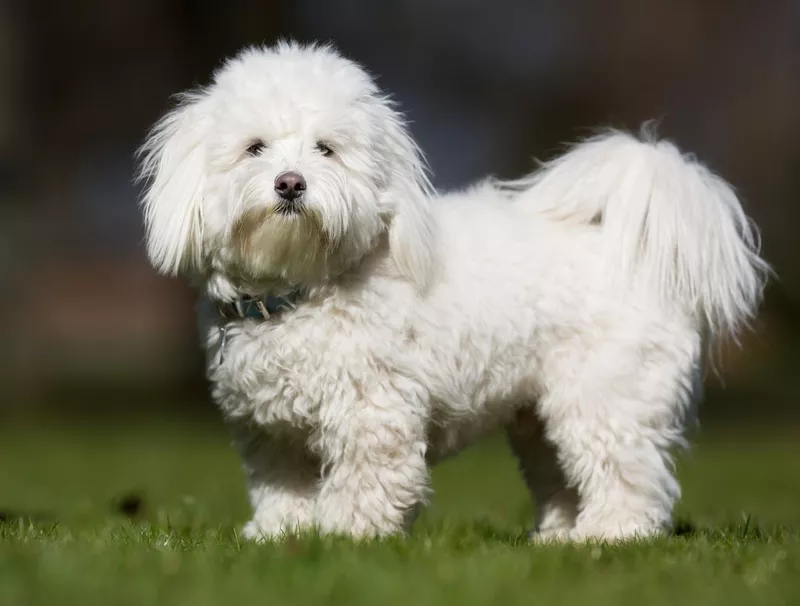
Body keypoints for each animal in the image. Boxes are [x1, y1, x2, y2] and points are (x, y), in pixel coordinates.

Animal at [138, 44, 768, 548]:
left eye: (326, 149)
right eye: (255, 148)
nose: (290, 183)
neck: (301, 291)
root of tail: (637, 253)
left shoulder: (373, 414)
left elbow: (368, 481)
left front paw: (344, 537)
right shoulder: (272, 433)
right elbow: (283, 489)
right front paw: (279, 536)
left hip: (606, 398)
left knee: (629, 476)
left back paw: (611, 537)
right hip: (539, 418)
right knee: (563, 477)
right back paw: (557, 541)